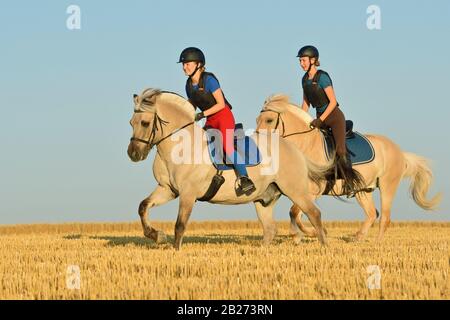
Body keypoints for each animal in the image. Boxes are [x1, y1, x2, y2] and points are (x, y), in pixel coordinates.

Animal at [127, 88, 334, 250]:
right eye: (131, 123)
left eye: (145, 123)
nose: (133, 153)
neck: (179, 146)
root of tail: (295, 149)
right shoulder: (168, 189)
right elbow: (143, 206)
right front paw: (156, 235)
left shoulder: (188, 194)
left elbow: (180, 225)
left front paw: (175, 251)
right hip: (264, 199)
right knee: (270, 229)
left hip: (295, 190)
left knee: (313, 214)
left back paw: (324, 247)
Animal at [255, 95, 442, 242]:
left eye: (269, 120)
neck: (306, 145)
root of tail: (399, 151)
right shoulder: (301, 192)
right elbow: (297, 214)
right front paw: (306, 234)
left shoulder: (315, 190)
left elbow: (296, 212)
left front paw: (315, 233)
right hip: (363, 189)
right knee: (372, 213)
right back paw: (358, 237)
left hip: (387, 186)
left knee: (385, 217)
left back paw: (377, 244)